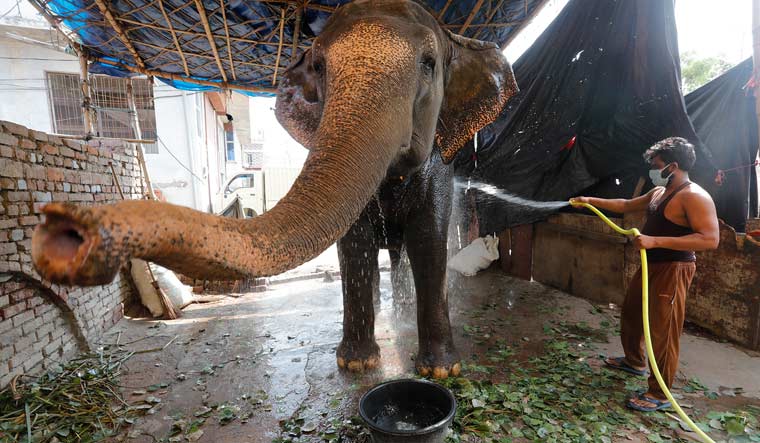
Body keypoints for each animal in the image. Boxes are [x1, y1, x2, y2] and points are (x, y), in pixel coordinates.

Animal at [29, 0, 516, 380]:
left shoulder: (441, 168)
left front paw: (441, 370)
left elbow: (430, 241)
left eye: (430, 65)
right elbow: (353, 245)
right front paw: (357, 365)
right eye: (319, 68)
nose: (62, 233)